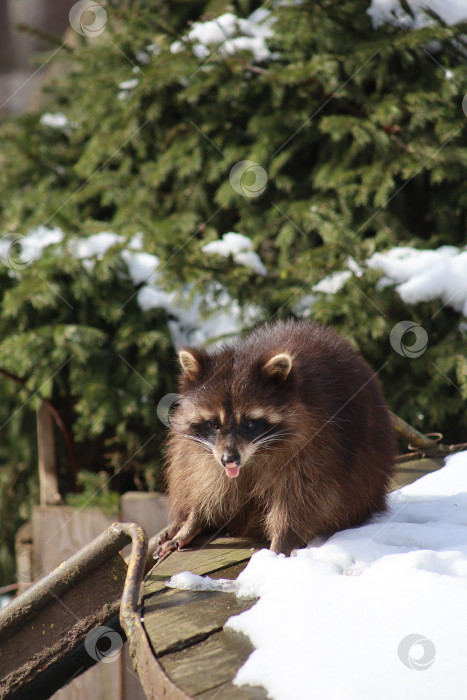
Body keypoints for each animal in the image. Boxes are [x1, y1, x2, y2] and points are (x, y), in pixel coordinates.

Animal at [155, 322, 396, 556]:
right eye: (214, 424)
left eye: (249, 424)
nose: (230, 459)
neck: (254, 456)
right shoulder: (210, 454)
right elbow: (209, 484)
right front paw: (195, 518)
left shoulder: (318, 445)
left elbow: (302, 497)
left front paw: (282, 541)